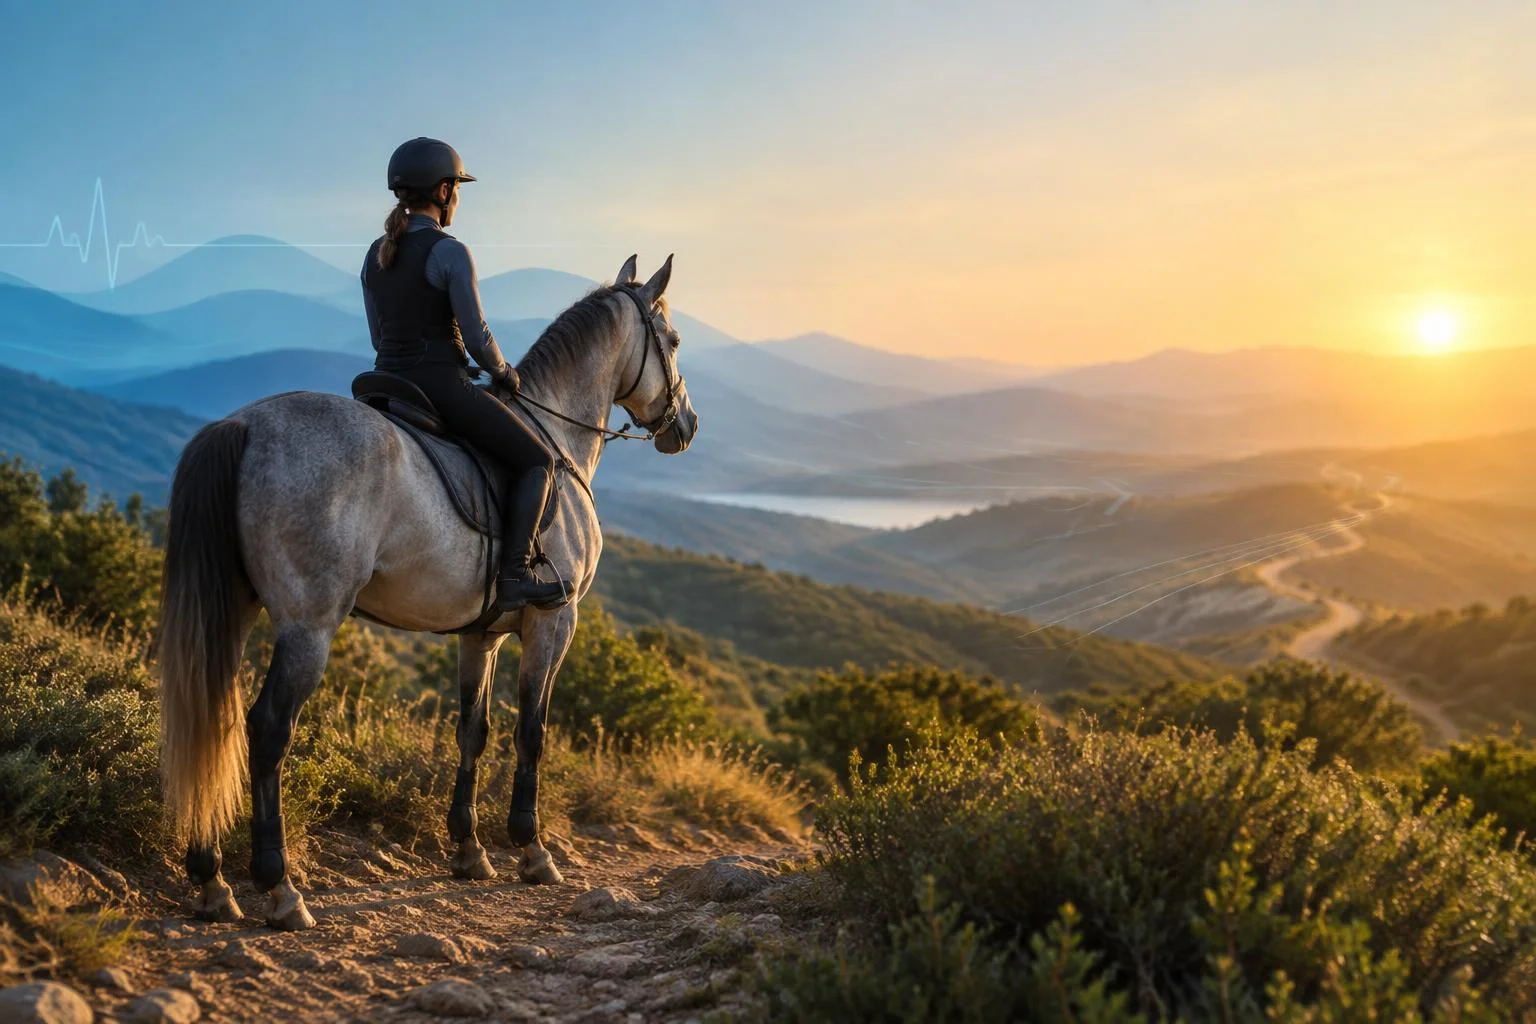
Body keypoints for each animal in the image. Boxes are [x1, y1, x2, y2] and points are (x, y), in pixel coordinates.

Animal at [157, 255, 697, 930]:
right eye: (672, 341)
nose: (687, 426)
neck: (557, 435)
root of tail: (243, 425)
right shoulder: (554, 624)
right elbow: (532, 732)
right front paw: (532, 851)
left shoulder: (481, 636)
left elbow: (474, 731)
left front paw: (468, 851)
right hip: (309, 625)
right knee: (267, 728)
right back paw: (279, 888)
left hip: (232, 613)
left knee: (214, 717)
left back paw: (211, 882)